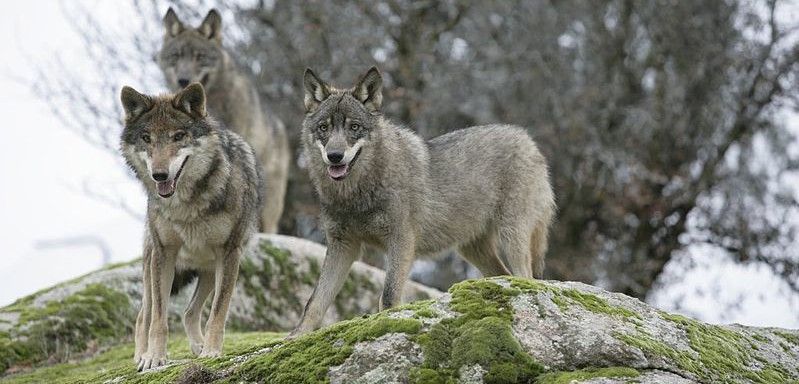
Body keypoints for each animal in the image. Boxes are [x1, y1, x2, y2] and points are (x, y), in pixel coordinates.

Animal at [120, 82, 262, 368]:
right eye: (146, 138)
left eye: (178, 136)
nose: (159, 175)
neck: (186, 206)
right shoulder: (164, 254)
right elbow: (159, 318)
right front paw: (155, 358)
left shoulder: (229, 254)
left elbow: (218, 311)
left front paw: (211, 351)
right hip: (152, 266)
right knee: (144, 315)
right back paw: (141, 355)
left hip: (209, 269)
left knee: (189, 311)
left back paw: (198, 346)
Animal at [292, 66, 556, 332]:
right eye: (324, 128)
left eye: (354, 127)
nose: (335, 156)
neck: (355, 194)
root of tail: (528, 139)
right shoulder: (342, 246)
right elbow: (314, 303)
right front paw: (296, 336)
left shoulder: (401, 241)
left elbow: (388, 297)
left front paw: (386, 324)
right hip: (473, 249)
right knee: (506, 275)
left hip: (511, 237)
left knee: (526, 277)